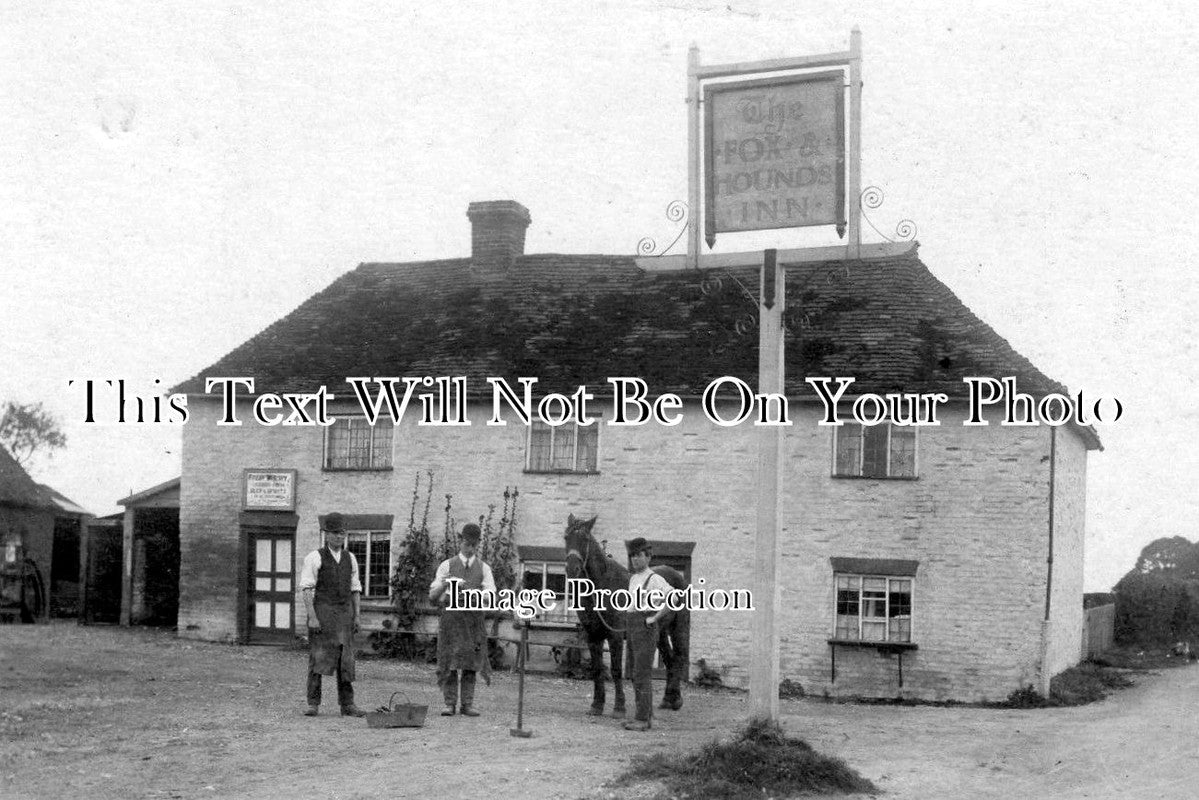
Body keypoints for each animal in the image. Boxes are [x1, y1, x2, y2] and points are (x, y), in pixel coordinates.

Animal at [563, 513, 695, 719]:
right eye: (566, 537)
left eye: (584, 539)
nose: (572, 569)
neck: (602, 586)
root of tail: (677, 577)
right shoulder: (593, 636)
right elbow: (597, 669)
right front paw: (596, 705)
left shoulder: (615, 636)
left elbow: (616, 670)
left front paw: (619, 707)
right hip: (660, 632)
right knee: (669, 659)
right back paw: (667, 700)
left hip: (678, 628)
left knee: (679, 657)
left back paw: (676, 700)